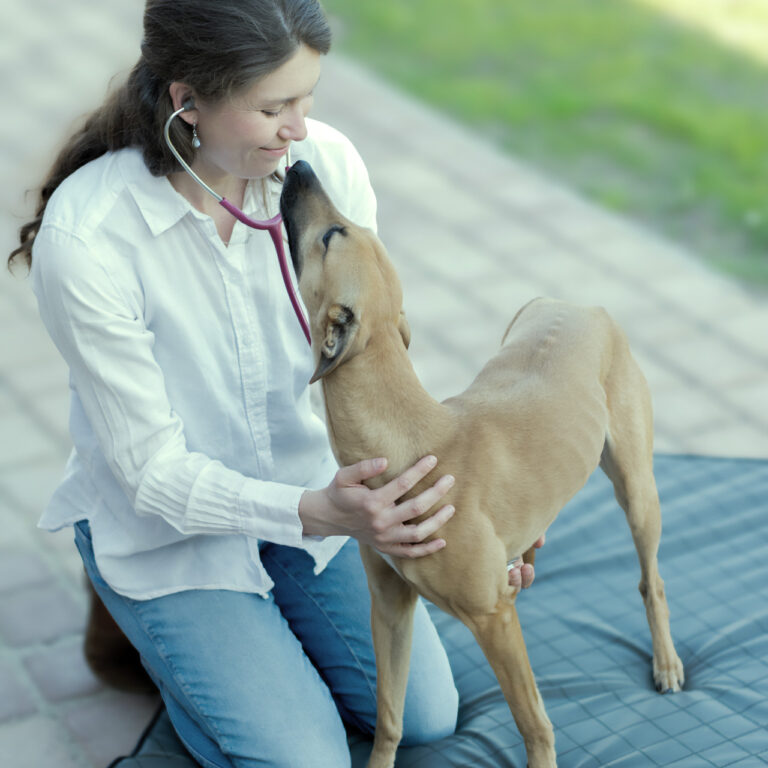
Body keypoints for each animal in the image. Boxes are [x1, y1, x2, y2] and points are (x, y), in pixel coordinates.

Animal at [280, 162, 684, 768]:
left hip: (637, 491)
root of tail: (574, 305)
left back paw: (666, 661)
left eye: (333, 234)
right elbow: (391, 716)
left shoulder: (495, 619)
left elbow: (535, 724)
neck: (410, 438)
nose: (300, 165)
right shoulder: (391, 606)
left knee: (651, 580)